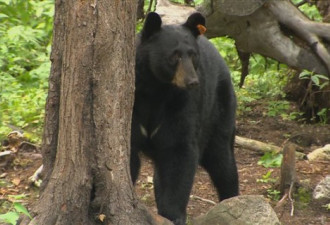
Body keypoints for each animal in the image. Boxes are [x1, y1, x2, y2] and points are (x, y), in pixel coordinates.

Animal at [130, 11, 238, 225]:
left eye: (193, 55)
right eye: (175, 55)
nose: (192, 82)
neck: (157, 89)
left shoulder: (182, 105)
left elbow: (179, 152)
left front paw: (173, 214)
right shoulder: (134, 101)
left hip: (219, 110)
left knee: (222, 161)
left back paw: (232, 199)